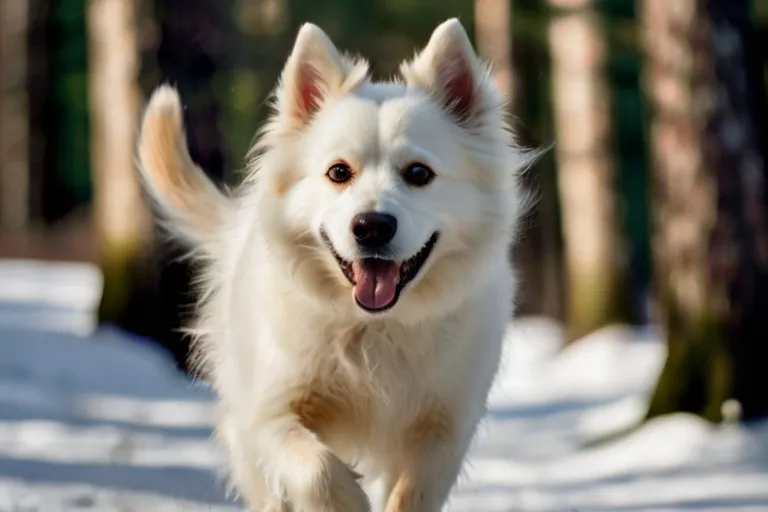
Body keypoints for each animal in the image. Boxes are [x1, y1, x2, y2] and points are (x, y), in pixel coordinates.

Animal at [140, 18, 536, 512]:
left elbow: (409, 495)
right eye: (339, 172)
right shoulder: (271, 413)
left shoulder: (444, 427)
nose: (372, 226)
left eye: (419, 173)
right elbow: (318, 470)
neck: (375, 328)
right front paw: (346, 499)